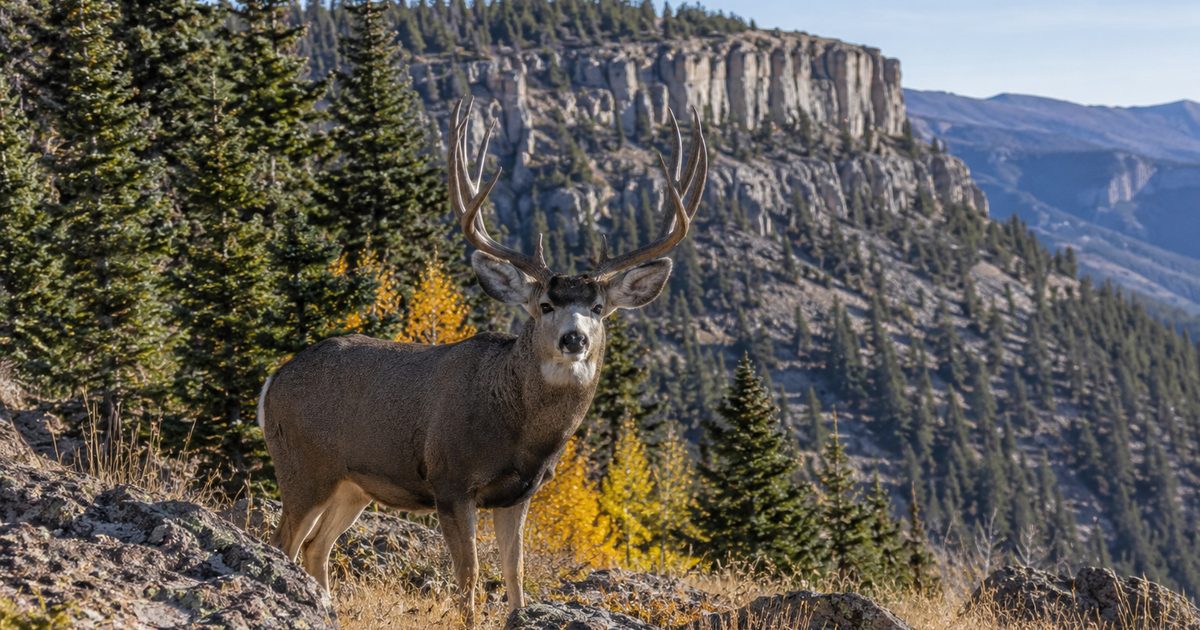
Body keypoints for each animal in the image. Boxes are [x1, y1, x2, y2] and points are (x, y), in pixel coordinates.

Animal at [257, 97, 707, 625]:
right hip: (304, 465)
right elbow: (469, 578)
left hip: (354, 485)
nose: (574, 338)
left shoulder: (518, 493)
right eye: (544, 305)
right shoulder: (450, 482)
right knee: (283, 541)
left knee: (315, 548)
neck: (520, 432)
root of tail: (272, 381)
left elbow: (515, 574)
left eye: (598, 307)